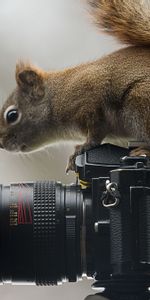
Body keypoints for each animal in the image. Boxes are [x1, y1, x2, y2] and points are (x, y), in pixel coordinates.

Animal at [0, 0, 150, 171]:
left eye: (12, 115)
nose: (2, 144)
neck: (57, 97)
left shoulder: (90, 101)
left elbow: (96, 132)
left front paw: (83, 148)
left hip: (140, 104)